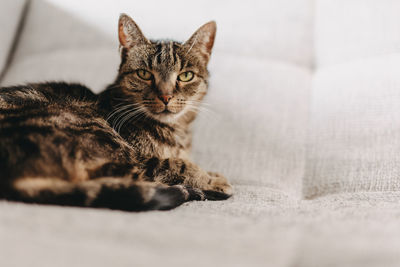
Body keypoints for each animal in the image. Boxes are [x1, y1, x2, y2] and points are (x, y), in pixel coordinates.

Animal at [0, 14, 233, 211]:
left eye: (185, 76)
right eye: (144, 74)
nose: (166, 96)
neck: (177, 133)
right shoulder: (145, 157)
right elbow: (176, 165)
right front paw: (211, 179)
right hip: (89, 127)